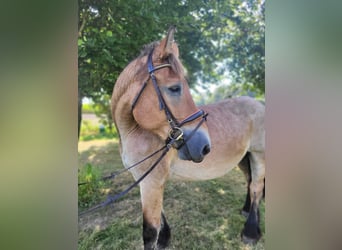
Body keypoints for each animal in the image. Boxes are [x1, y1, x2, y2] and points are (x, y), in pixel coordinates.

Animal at [111, 26, 266, 249]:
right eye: (175, 88)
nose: (204, 146)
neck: (134, 131)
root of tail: (259, 104)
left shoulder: (151, 182)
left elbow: (149, 231)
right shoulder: (147, 180)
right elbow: (160, 216)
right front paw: (165, 238)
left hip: (259, 154)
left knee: (256, 188)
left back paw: (251, 232)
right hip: (245, 157)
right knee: (250, 182)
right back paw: (248, 213)